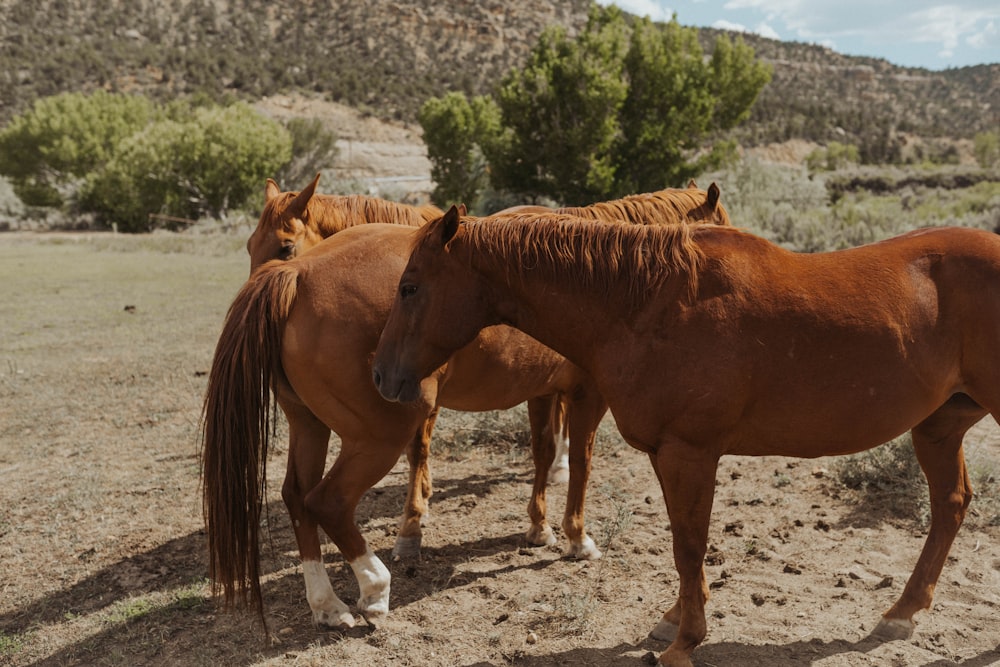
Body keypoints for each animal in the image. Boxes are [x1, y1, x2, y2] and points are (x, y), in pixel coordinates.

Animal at [376, 209, 1000, 667]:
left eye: (409, 287)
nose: (382, 377)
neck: (647, 305)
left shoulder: (690, 454)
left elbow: (691, 545)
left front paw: (684, 643)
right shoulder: (666, 454)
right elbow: (681, 541)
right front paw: (674, 620)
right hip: (938, 426)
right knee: (950, 504)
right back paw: (902, 612)